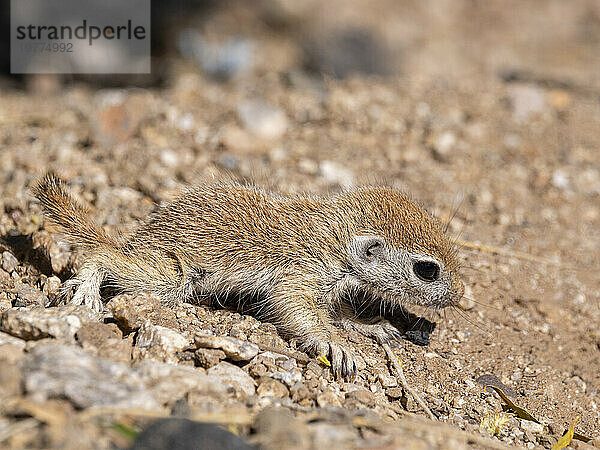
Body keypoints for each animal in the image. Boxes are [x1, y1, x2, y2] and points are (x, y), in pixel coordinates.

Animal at [31, 174, 464, 378]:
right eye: (427, 270)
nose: (460, 295)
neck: (336, 236)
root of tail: (141, 236)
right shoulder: (301, 274)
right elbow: (299, 311)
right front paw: (337, 347)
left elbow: (340, 312)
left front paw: (374, 325)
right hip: (169, 275)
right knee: (105, 255)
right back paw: (85, 288)